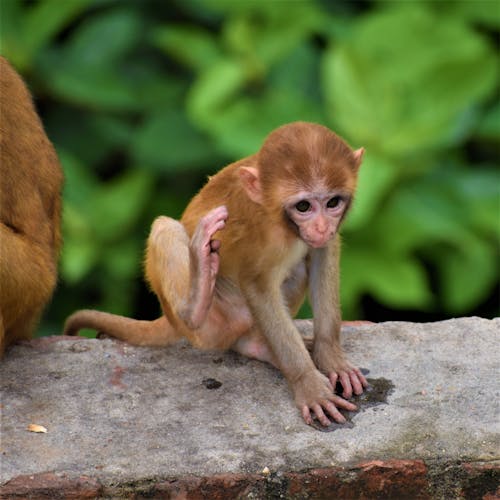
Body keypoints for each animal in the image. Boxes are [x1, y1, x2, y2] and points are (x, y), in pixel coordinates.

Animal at [65, 121, 368, 426]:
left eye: (332, 203)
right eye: (304, 206)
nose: (321, 227)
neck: (283, 224)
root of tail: (171, 318)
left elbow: (322, 253)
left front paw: (331, 357)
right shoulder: (263, 236)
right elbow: (257, 285)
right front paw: (308, 382)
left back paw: (257, 345)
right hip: (215, 324)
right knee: (165, 228)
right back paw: (197, 300)